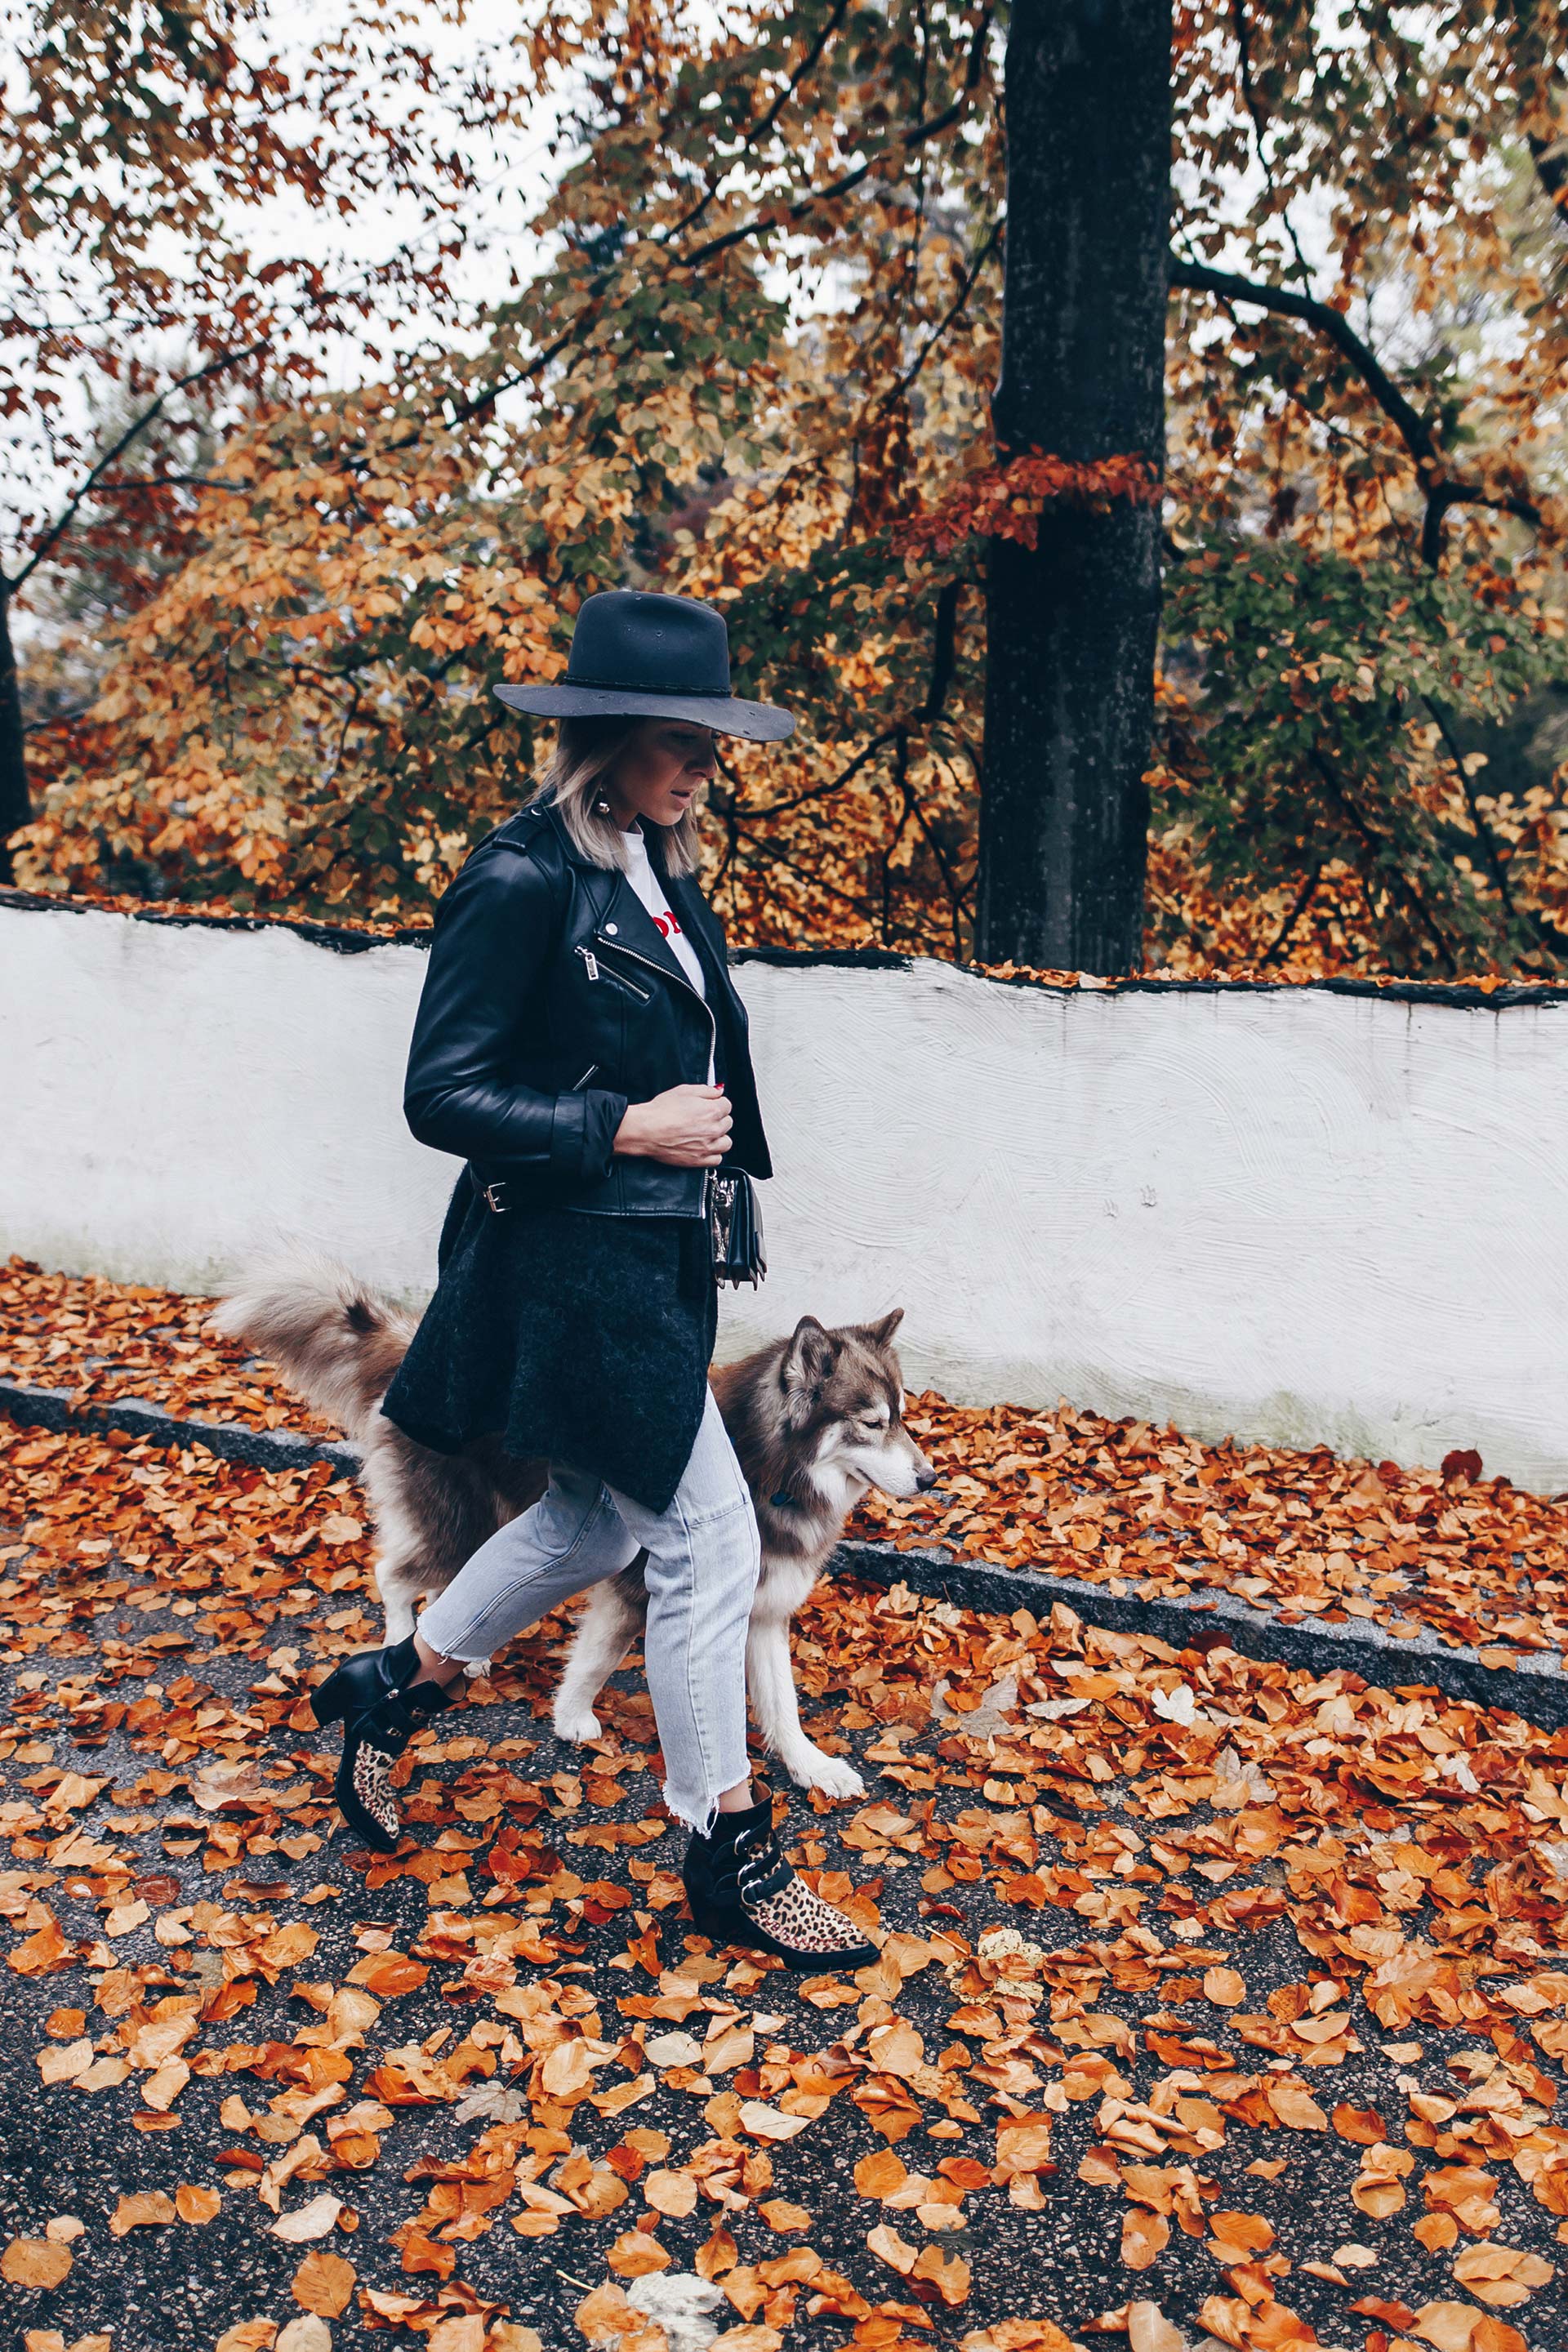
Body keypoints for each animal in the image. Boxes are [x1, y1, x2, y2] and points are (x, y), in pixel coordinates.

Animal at [215, 1270, 940, 1778]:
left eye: (904, 1417)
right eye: (872, 1422)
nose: (932, 1479)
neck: (766, 1467)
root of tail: (414, 1352)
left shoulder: (761, 1609)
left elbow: (782, 1705)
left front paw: (811, 1767)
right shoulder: (636, 1588)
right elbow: (596, 1658)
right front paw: (572, 1719)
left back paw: (464, 1651)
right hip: (460, 1526)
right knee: (394, 1574)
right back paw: (404, 1645)